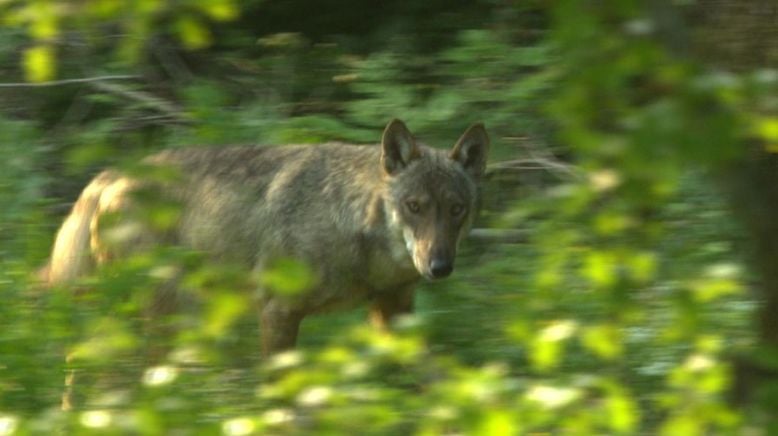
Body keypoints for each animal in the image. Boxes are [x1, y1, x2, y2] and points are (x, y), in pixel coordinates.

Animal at [45, 119, 488, 354]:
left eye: (456, 209)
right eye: (414, 206)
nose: (439, 266)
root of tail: (109, 176)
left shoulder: (393, 309)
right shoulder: (277, 312)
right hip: (157, 316)